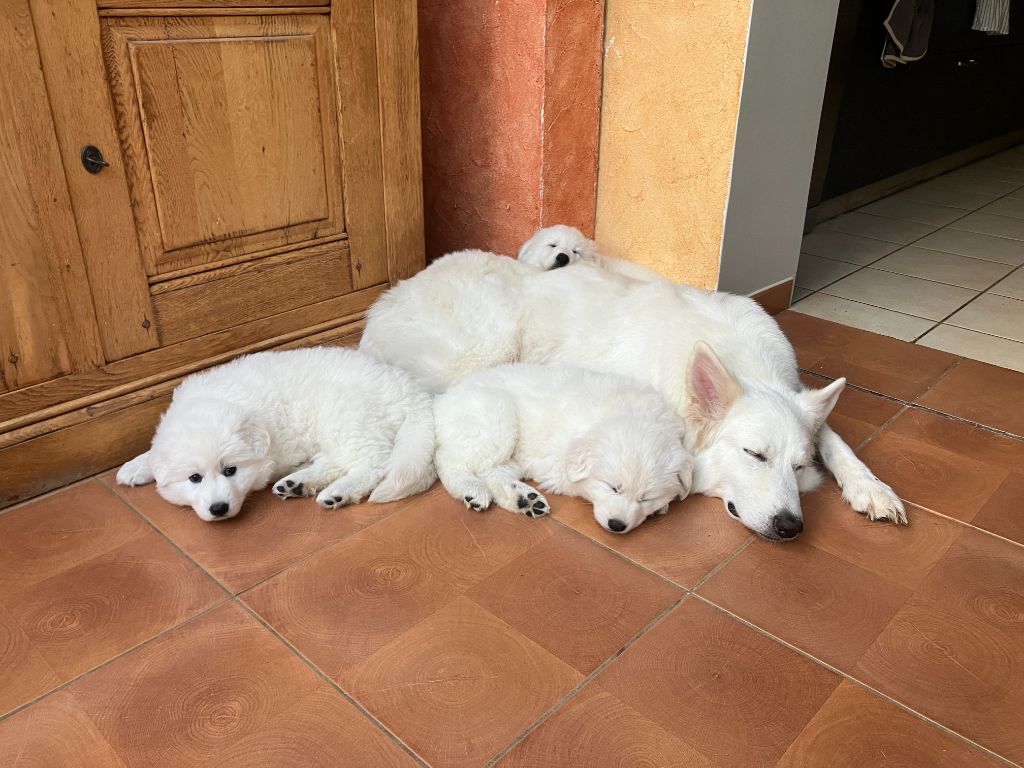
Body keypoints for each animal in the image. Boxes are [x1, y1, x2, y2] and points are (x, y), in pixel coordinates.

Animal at [116, 348, 436, 524]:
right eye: (194, 478)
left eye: (231, 470)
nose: (219, 509)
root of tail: (410, 390)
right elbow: (154, 451)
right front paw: (135, 467)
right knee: (336, 461)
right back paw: (297, 484)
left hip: (342, 414)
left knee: (372, 463)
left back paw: (337, 492)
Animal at [428, 362, 692, 536]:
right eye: (613, 488)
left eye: (645, 498)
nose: (617, 525)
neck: (632, 417)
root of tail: (442, 399)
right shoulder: (560, 466)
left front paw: (662, 506)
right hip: (495, 422)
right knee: (450, 460)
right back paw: (472, 490)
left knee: (493, 473)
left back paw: (525, 500)